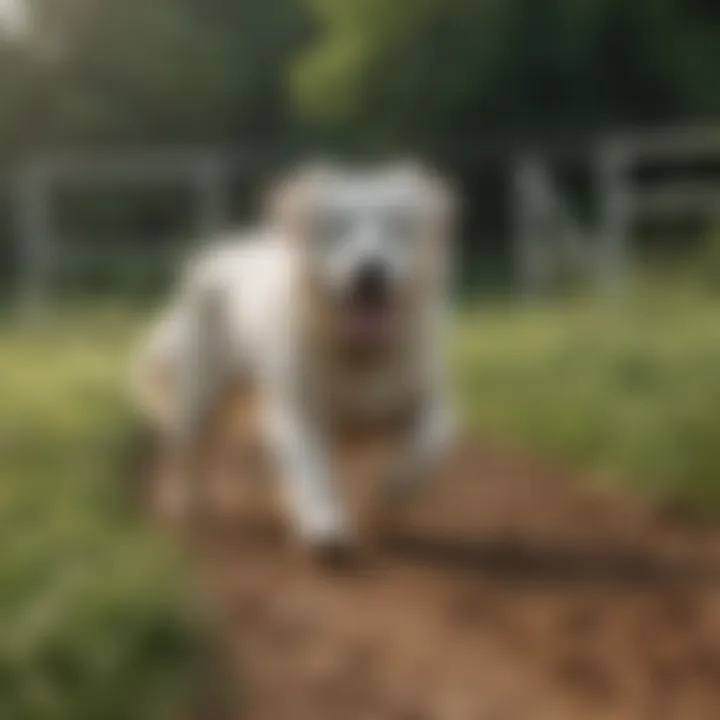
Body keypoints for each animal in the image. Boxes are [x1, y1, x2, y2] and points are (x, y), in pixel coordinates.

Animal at [132, 159, 458, 552]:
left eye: (399, 228)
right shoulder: (299, 410)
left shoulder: (424, 397)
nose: (371, 273)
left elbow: (431, 441)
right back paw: (189, 501)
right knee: (188, 448)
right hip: (201, 392)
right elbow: (311, 471)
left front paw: (395, 488)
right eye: (335, 230)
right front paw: (325, 526)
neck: (358, 353)